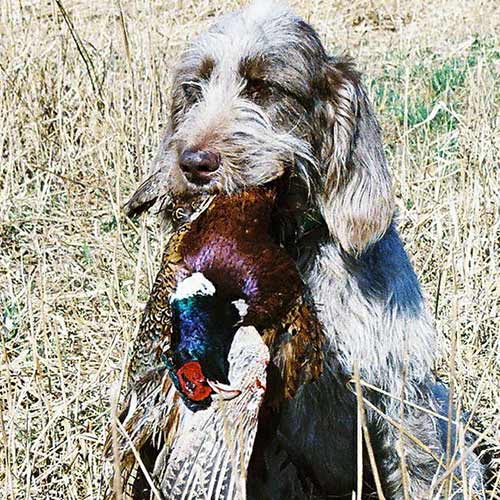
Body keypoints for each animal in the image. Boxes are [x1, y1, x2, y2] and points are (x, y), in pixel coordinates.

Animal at [125, 1, 484, 498]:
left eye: (265, 88)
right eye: (193, 89)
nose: (192, 163)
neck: (289, 243)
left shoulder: (398, 387)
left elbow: (420, 466)